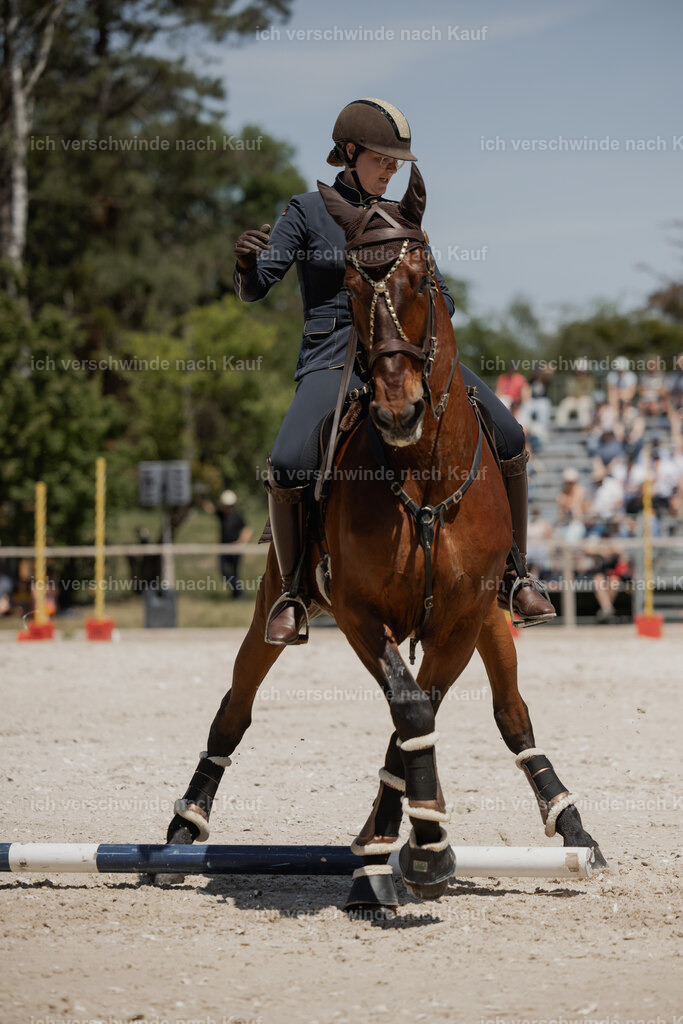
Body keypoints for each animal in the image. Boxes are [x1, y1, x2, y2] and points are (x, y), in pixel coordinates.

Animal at [160, 164, 605, 915]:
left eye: (422, 280)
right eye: (348, 287)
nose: (399, 410)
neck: (419, 473)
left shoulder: (461, 616)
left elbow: (417, 718)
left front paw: (402, 843)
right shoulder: (360, 614)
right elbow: (410, 708)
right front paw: (411, 847)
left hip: (492, 615)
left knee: (511, 713)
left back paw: (571, 827)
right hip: (280, 601)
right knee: (235, 707)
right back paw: (184, 828)